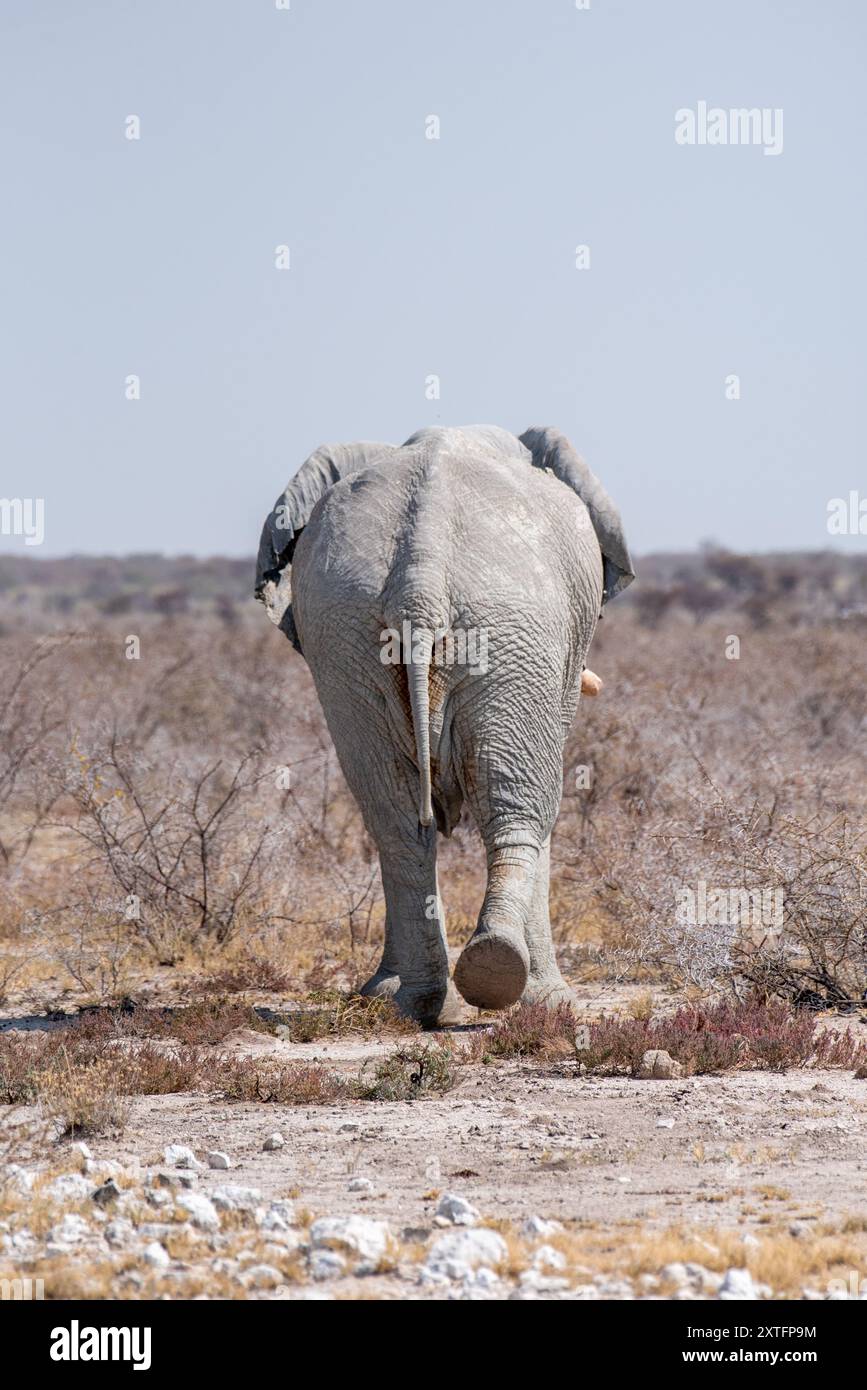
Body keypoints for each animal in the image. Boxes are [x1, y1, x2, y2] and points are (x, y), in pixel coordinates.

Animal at [254, 428, 633, 1028]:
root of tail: (421, 574)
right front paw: (550, 1002)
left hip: (347, 641)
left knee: (395, 820)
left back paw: (409, 1003)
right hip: (512, 629)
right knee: (518, 807)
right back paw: (506, 982)